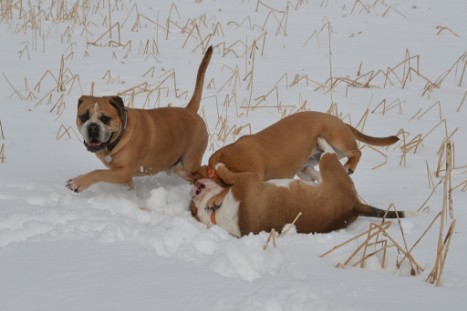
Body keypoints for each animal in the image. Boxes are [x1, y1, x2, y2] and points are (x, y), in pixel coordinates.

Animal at [67, 46, 214, 193]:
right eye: (84, 117)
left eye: (105, 118)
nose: (92, 126)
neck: (120, 135)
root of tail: (190, 110)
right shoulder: (124, 177)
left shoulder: (124, 172)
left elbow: (98, 172)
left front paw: (78, 182)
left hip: (190, 161)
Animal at [177, 138, 412, 238]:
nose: (193, 188)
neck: (216, 215)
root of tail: (355, 206)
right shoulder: (249, 179)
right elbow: (229, 175)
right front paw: (220, 167)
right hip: (330, 167)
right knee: (329, 154)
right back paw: (322, 142)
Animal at [190, 111, 398, 183]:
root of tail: (341, 122)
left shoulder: (255, 173)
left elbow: (232, 175)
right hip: (307, 165)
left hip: (337, 139)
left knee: (356, 152)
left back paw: (350, 167)